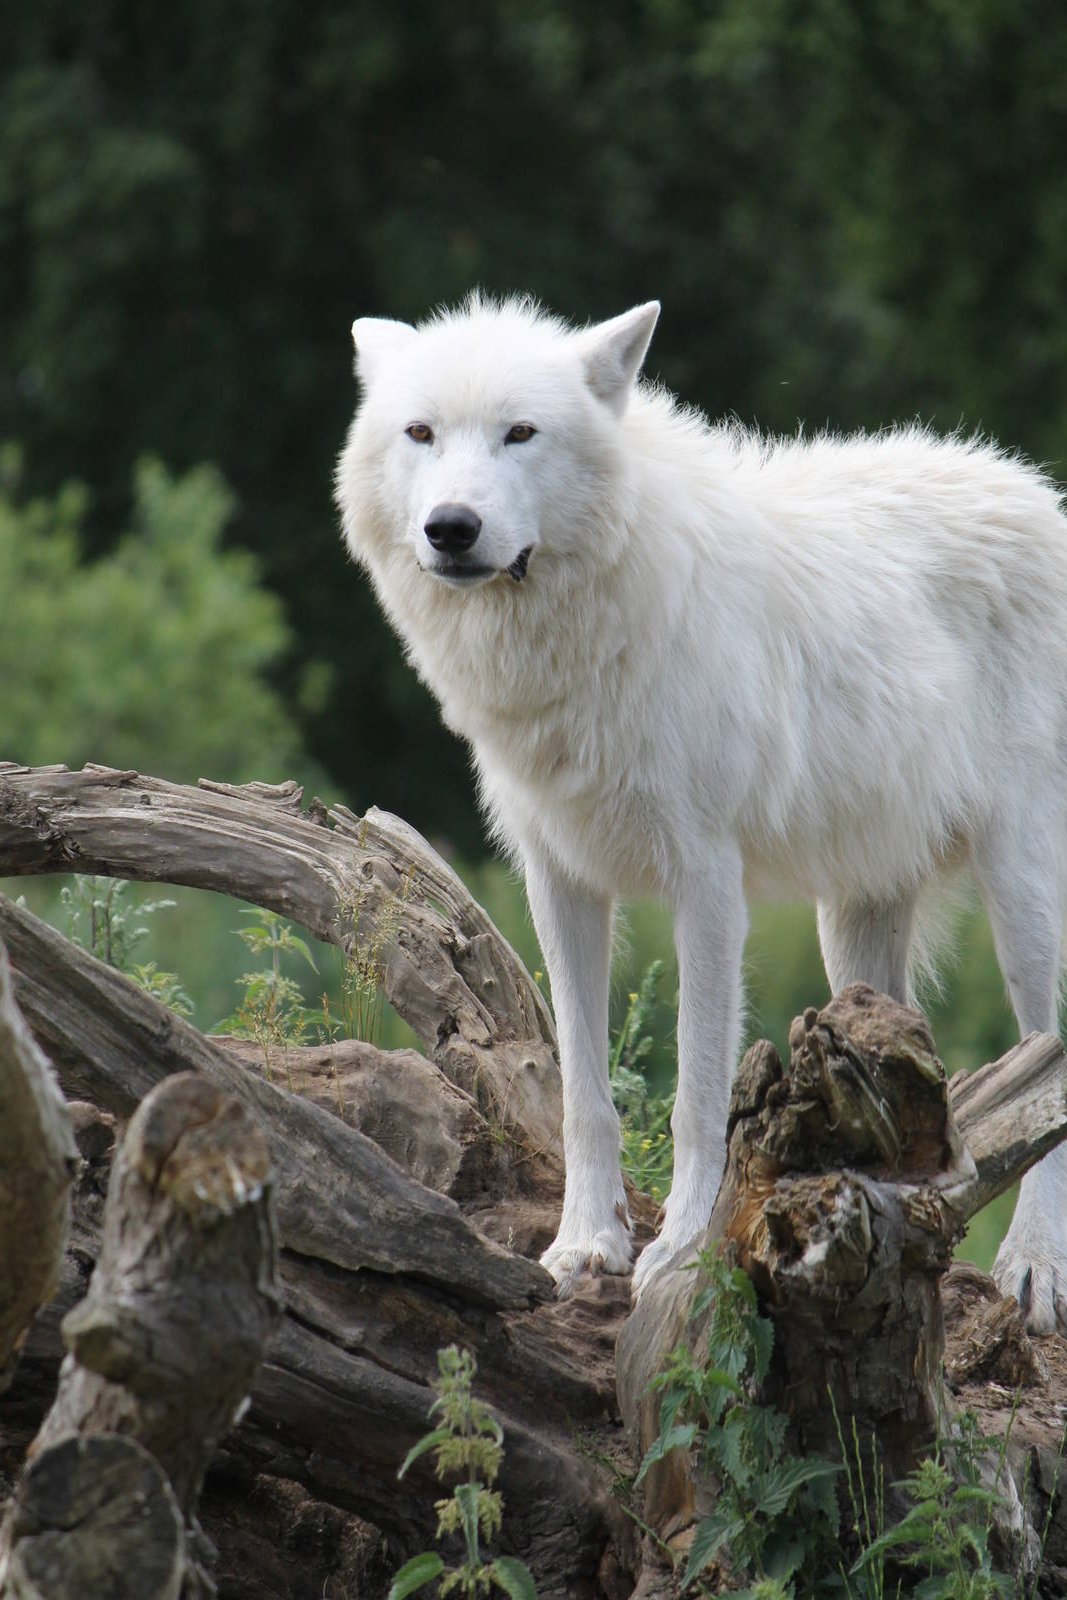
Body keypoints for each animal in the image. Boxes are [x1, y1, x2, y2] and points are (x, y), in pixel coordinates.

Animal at [336, 294, 1067, 1330]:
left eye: (520, 433)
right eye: (421, 434)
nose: (451, 527)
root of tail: (1033, 488)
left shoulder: (707, 882)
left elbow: (694, 1092)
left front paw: (678, 1252)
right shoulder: (557, 880)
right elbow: (583, 1090)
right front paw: (583, 1247)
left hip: (1021, 897)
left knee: (1047, 1063)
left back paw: (1032, 1270)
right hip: (854, 929)